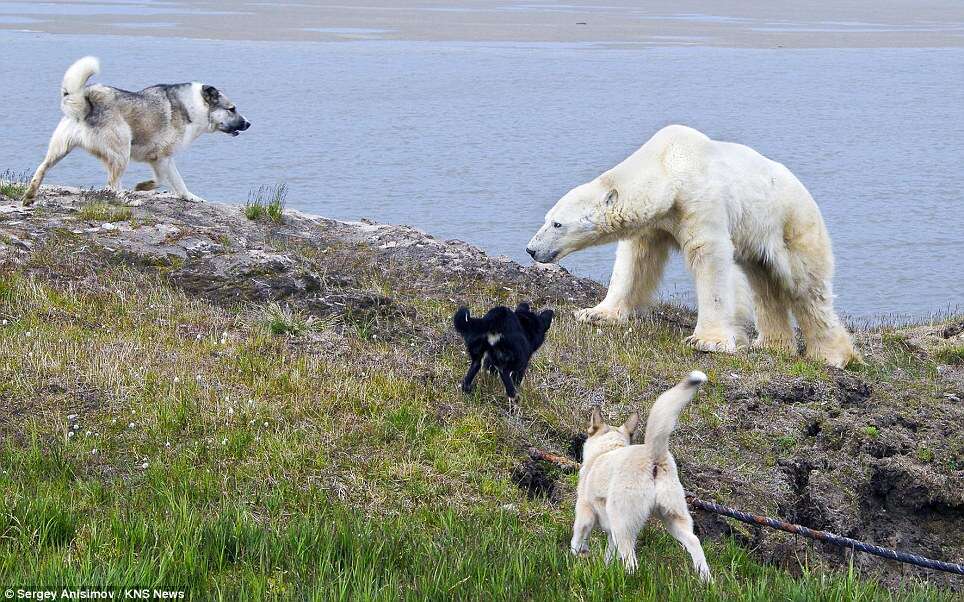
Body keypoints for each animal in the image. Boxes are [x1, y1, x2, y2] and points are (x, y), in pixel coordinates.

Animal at [23, 56, 250, 206]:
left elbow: (178, 183)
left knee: (41, 169)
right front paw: (143, 187)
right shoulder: (161, 158)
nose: (248, 124)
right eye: (232, 109)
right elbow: (164, 180)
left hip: (59, 149)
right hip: (122, 150)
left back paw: (29, 196)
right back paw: (127, 201)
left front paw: (190, 198)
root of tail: (87, 101)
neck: (193, 106)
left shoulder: (162, 159)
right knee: (113, 185)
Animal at [528, 124, 860, 366]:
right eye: (547, 218)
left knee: (806, 286)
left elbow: (709, 258)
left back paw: (832, 355)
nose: (531, 249)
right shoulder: (657, 222)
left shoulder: (700, 200)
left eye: (557, 224)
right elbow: (635, 260)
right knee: (764, 283)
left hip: (791, 224)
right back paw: (772, 345)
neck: (669, 166)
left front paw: (708, 340)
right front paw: (596, 313)